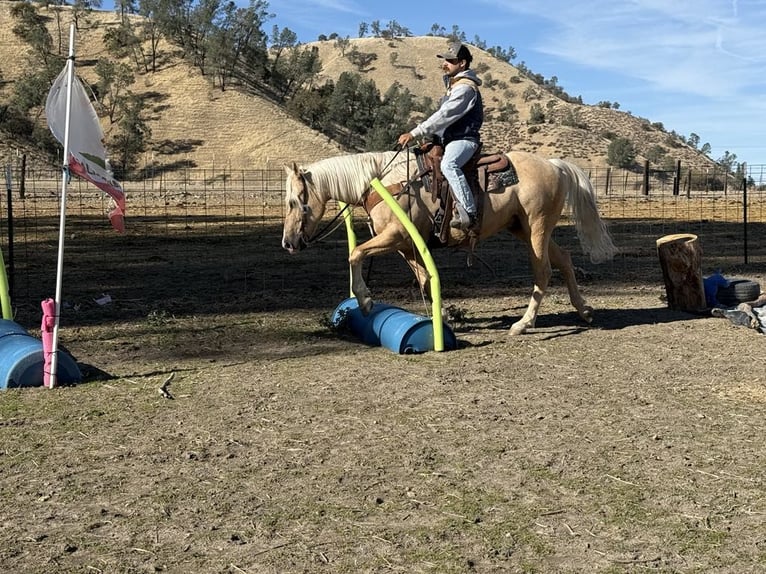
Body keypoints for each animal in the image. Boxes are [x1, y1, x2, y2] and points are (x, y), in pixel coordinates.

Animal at [282, 150, 616, 338]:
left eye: (293, 201)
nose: (287, 243)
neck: (384, 182)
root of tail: (553, 165)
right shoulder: (407, 247)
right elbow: (425, 280)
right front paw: (440, 319)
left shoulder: (394, 237)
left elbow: (355, 253)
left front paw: (365, 302)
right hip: (522, 228)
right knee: (565, 259)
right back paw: (584, 311)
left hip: (536, 228)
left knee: (543, 271)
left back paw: (523, 324)